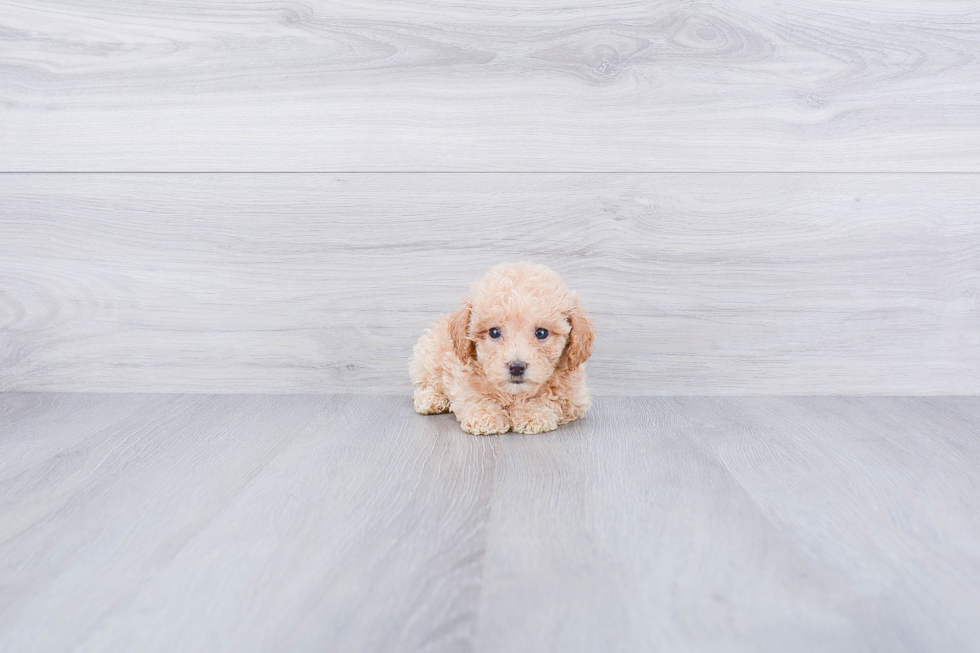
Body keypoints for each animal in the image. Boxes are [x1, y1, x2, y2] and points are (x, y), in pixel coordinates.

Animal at [410, 262, 592, 436]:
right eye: (494, 332)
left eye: (541, 333)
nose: (516, 367)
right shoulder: (463, 377)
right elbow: (473, 396)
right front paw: (485, 416)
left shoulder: (574, 397)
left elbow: (553, 398)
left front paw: (533, 412)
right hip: (430, 355)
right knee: (427, 382)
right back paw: (431, 399)